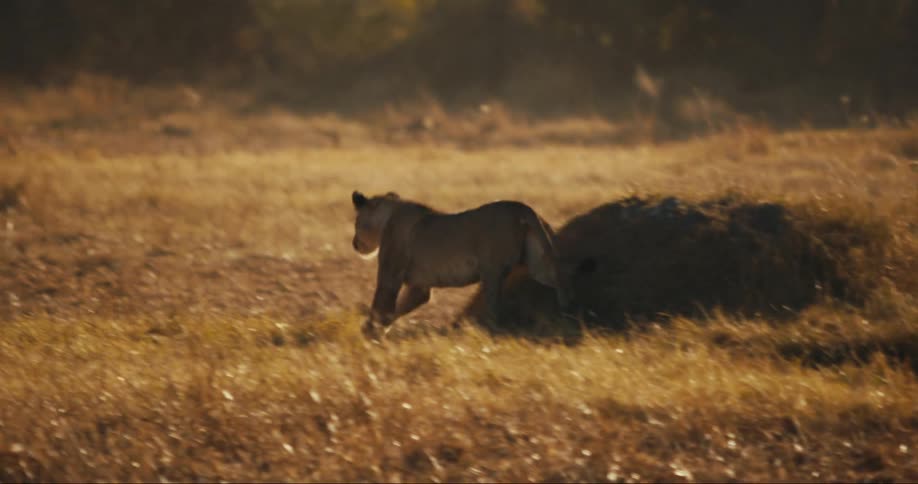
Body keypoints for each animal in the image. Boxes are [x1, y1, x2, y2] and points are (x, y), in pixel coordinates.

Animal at [351, 190, 572, 337]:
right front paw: (379, 329)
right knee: (560, 280)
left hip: (491, 270)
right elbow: (397, 308)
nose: (354, 244)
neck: (387, 218)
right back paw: (566, 316)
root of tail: (522, 208)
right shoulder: (419, 287)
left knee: (493, 307)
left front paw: (368, 331)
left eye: (356, 223)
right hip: (538, 265)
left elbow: (380, 305)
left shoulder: (390, 275)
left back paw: (489, 332)